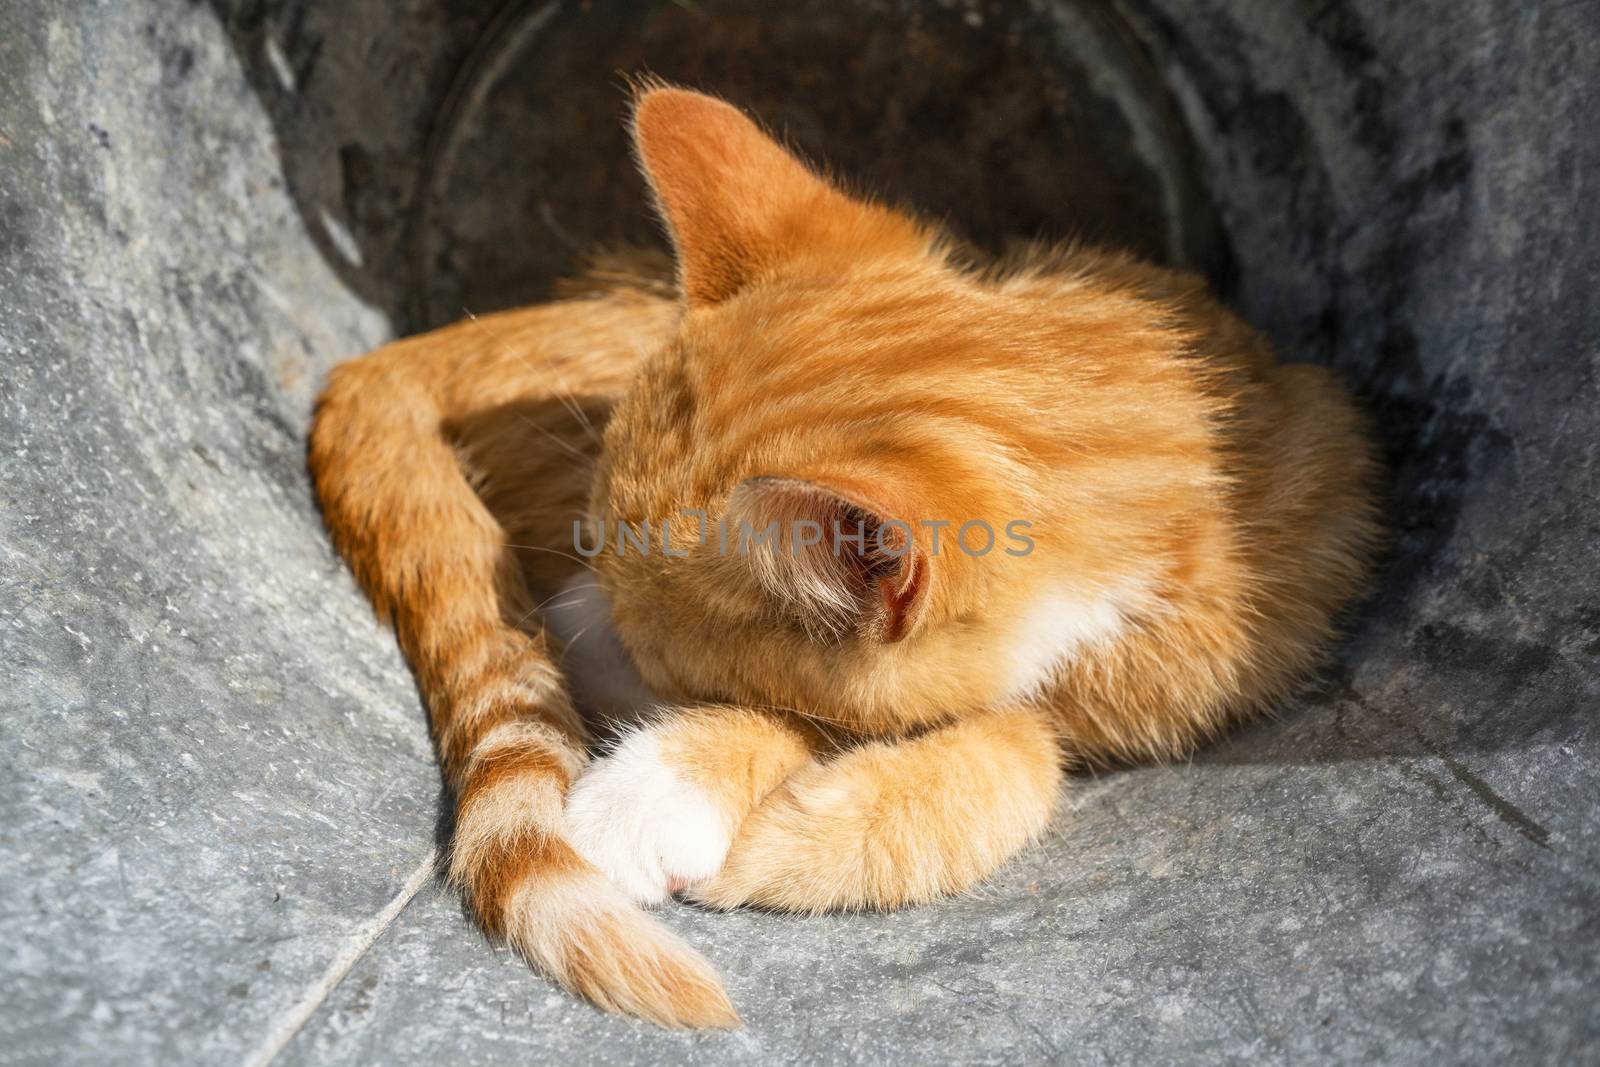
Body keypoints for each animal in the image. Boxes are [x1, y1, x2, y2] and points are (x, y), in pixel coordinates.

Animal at [305, 87, 1382, 1030]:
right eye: (592, 555)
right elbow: (970, 737)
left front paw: (699, 799)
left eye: (655, 650)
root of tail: (384, 356)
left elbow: (1001, 748)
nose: (563, 636)